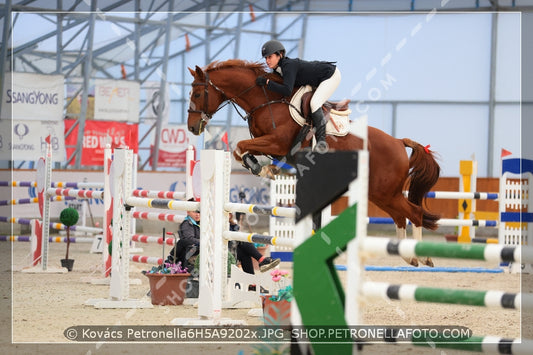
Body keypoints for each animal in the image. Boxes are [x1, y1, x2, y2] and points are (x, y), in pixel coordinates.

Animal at [185, 59, 438, 266]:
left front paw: (262, 168)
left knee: (414, 214)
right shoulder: (269, 145)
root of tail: (398, 142)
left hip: (385, 191)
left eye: (196, 95)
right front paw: (264, 167)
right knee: (400, 216)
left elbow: (240, 147)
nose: (192, 127)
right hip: (380, 193)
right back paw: (409, 257)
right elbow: (241, 149)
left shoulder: (276, 142)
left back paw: (422, 256)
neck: (265, 100)